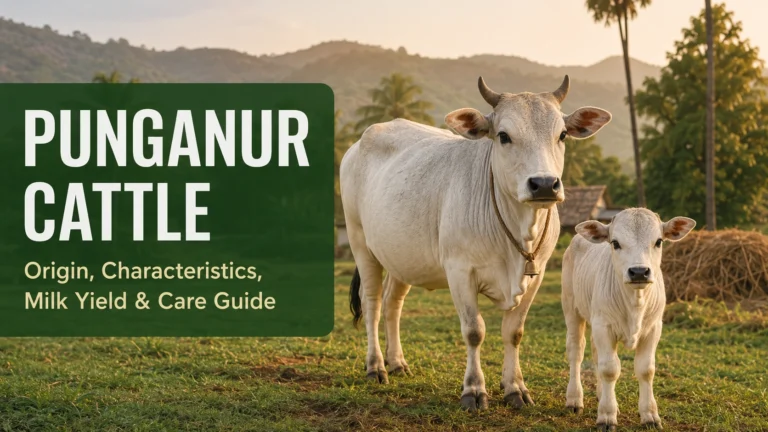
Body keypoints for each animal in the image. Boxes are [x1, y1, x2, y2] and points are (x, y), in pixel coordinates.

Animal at [340, 75, 612, 411]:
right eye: (504, 136)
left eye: (561, 134)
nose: (544, 184)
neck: (518, 230)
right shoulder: (460, 271)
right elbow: (474, 331)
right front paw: (473, 390)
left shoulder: (537, 274)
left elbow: (514, 332)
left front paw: (515, 388)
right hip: (360, 243)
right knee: (373, 303)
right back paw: (376, 366)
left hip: (401, 256)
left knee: (393, 303)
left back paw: (397, 362)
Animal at [561, 208, 696, 430]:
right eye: (615, 243)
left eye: (659, 241)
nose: (639, 271)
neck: (635, 303)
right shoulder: (603, 326)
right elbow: (609, 369)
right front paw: (607, 416)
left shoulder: (653, 328)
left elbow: (646, 369)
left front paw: (649, 414)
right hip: (572, 308)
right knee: (576, 352)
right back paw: (574, 399)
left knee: (596, 354)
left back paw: (601, 395)